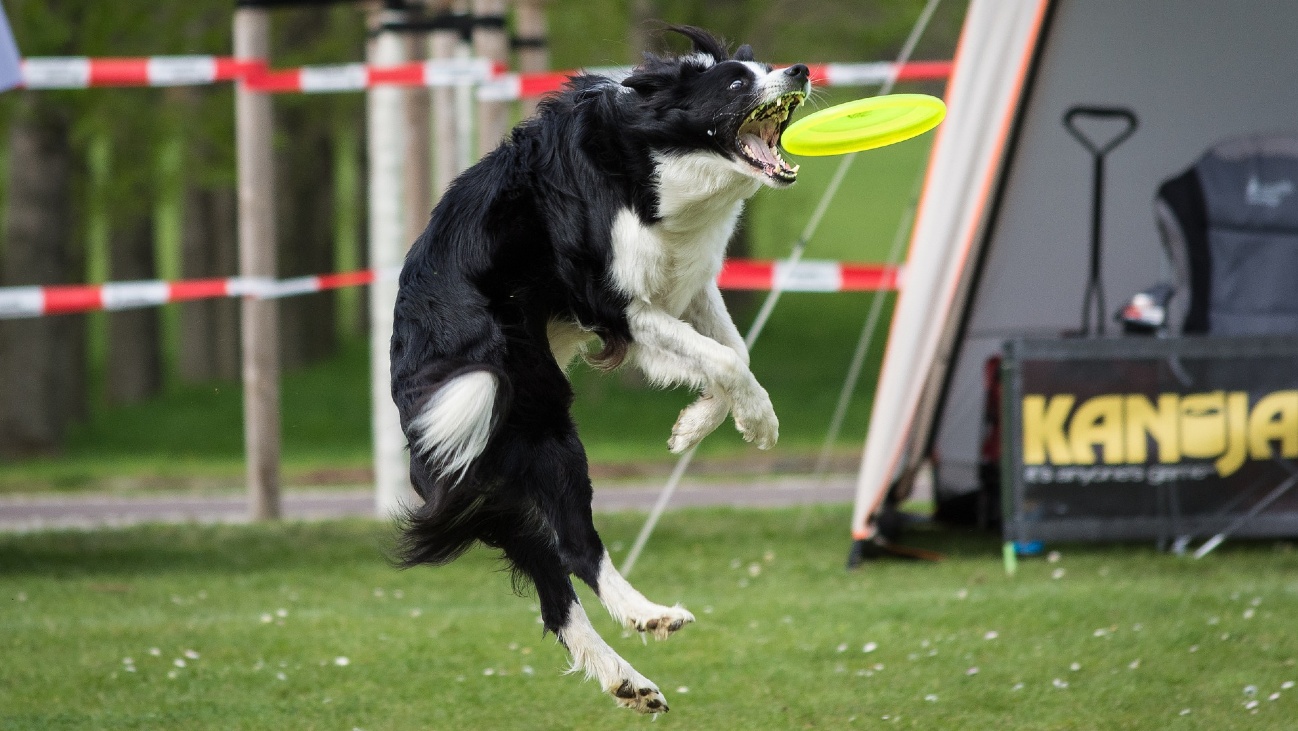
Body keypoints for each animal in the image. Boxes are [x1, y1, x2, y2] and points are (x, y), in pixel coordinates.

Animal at [389, 28, 804, 716]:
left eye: (764, 67)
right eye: (736, 83)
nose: (799, 69)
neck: (647, 160)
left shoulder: (679, 286)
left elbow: (732, 353)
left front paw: (698, 426)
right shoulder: (613, 302)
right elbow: (722, 356)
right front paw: (755, 421)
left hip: (499, 476)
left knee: (555, 595)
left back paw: (628, 680)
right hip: (540, 425)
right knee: (578, 547)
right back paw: (648, 614)